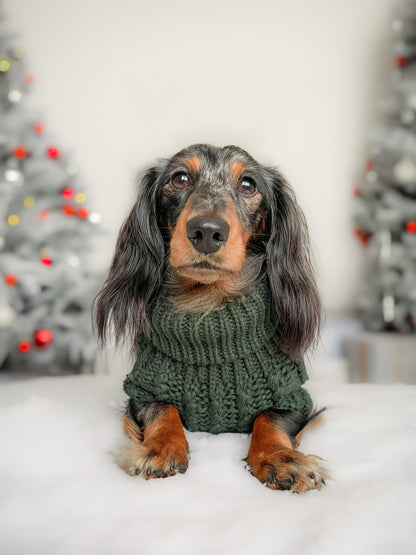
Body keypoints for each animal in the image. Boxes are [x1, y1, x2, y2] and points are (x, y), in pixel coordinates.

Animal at [94, 144, 328, 496]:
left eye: (248, 185)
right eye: (179, 179)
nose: (206, 231)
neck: (207, 305)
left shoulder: (293, 395)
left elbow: (270, 419)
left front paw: (281, 459)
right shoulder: (144, 389)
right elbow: (163, 409)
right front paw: (161, 448)